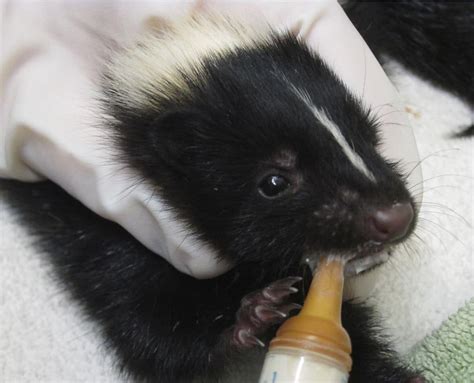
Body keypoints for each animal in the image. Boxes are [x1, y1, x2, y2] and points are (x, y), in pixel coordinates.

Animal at [5, 3, 472, 383]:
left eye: (369, 138)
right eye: (274, 182)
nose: (393, 216)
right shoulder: (100, 229)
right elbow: (147, 332)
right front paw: (251, 315)